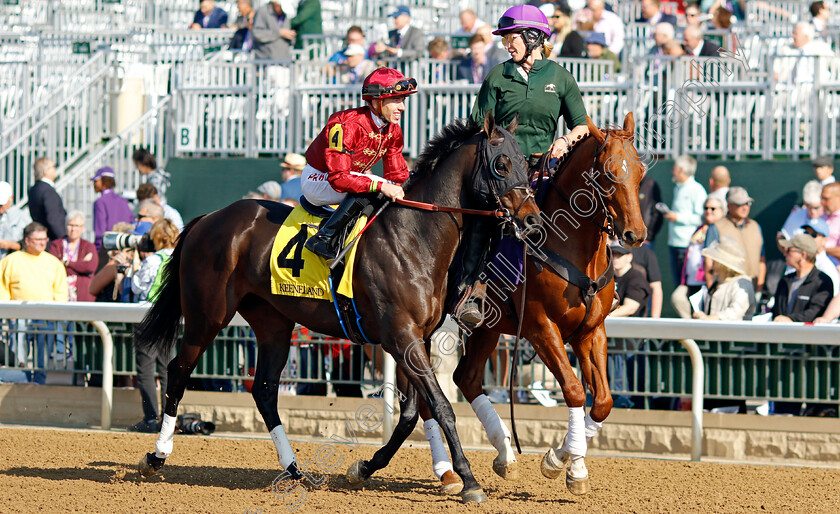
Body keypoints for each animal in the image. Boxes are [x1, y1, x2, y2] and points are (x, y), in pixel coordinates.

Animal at [131, 112, 540, 500]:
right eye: (503, 164)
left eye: (526, 163)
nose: (532, 220)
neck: (413, 237)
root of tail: (208, 218)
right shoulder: (401, 336)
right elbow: (440, 407)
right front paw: (469, 480)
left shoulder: (416, 338)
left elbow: (411, 413)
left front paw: (365, 467)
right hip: (207, 315)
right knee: (178, 373)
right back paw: (156, 456)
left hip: (272, 322)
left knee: (263, 390)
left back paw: (294, 469)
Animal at [420, 113, 648, 492]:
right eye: (605, 173)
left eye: (640, 171)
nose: (636, 234)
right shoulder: (540, 327)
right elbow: (574, 390)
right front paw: (567, 466)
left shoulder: (590, 331)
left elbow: (602, 401)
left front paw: (566, 459)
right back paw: (447, 472)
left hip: (487, 328)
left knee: (466, 378)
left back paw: (504, 455)